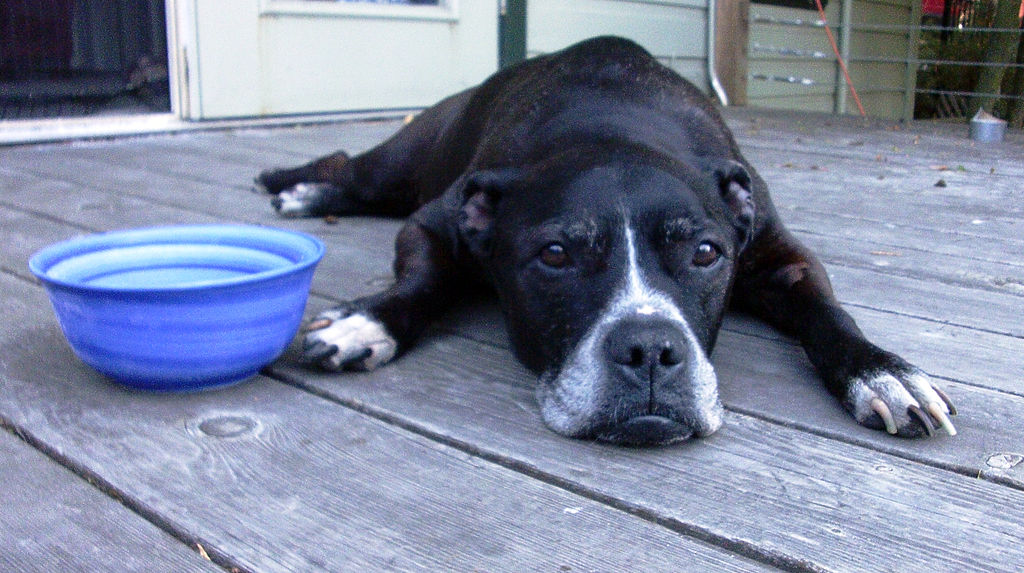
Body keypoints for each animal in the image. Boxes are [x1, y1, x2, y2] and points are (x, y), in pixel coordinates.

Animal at [253, 36, 950, 448]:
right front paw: (367, 322)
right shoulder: (431, 223)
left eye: (706, 254)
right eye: (555, 255)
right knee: (349, 168)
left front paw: (884, 372)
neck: (611, 125)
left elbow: (827, 312)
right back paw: (296, 188)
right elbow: (422, 282)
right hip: (402, 161)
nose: (650, 351)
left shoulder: (781, 258)